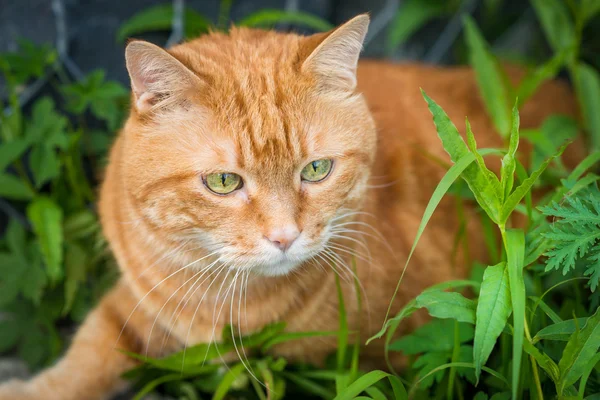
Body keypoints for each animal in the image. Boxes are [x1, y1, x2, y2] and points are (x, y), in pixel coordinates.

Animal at [0, 14, 580, 398]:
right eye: (223, 181)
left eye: (316, 170)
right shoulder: (136, 304)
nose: (285, 237)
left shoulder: (414, 351)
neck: (232, 304)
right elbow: (83, 358)